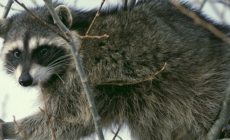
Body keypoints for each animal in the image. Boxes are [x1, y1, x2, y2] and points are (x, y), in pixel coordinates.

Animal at [0, 0, 230, 139]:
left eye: (43, 50)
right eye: (17, 53)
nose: (25, 80)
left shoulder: (85, 75)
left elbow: (69, 118)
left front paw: (12, 128)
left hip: (207, 86)